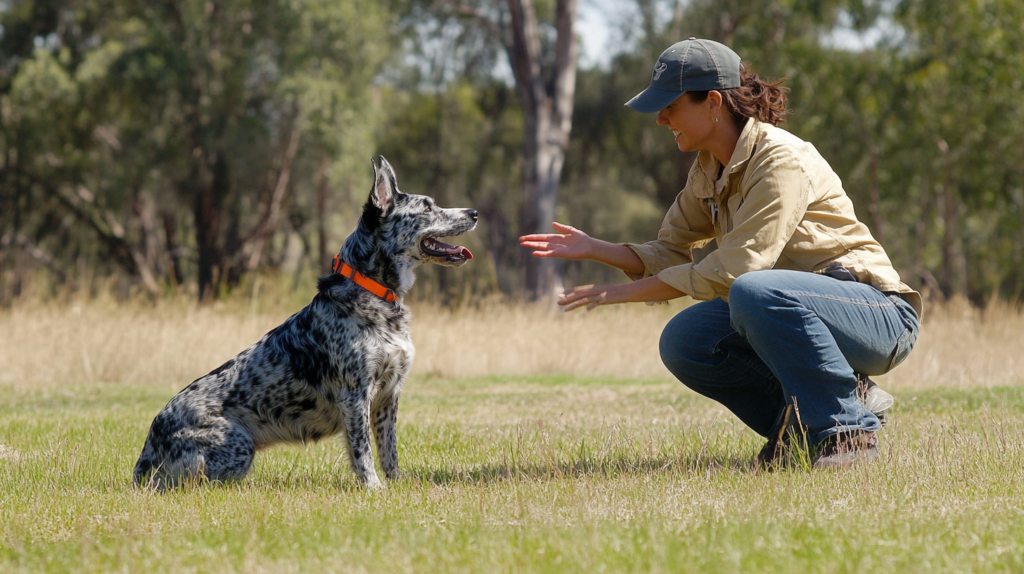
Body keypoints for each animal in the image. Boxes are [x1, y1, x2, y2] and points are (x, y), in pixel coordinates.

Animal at [133, 156, 479, 487]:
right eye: (427, 207)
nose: (474, 212)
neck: (373, 293)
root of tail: (150, 444)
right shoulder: (355, 396)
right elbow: (363, 452)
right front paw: (374, 488)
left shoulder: (388, 396)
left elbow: (388, 450)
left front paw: (395, 485)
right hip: (239, 448)